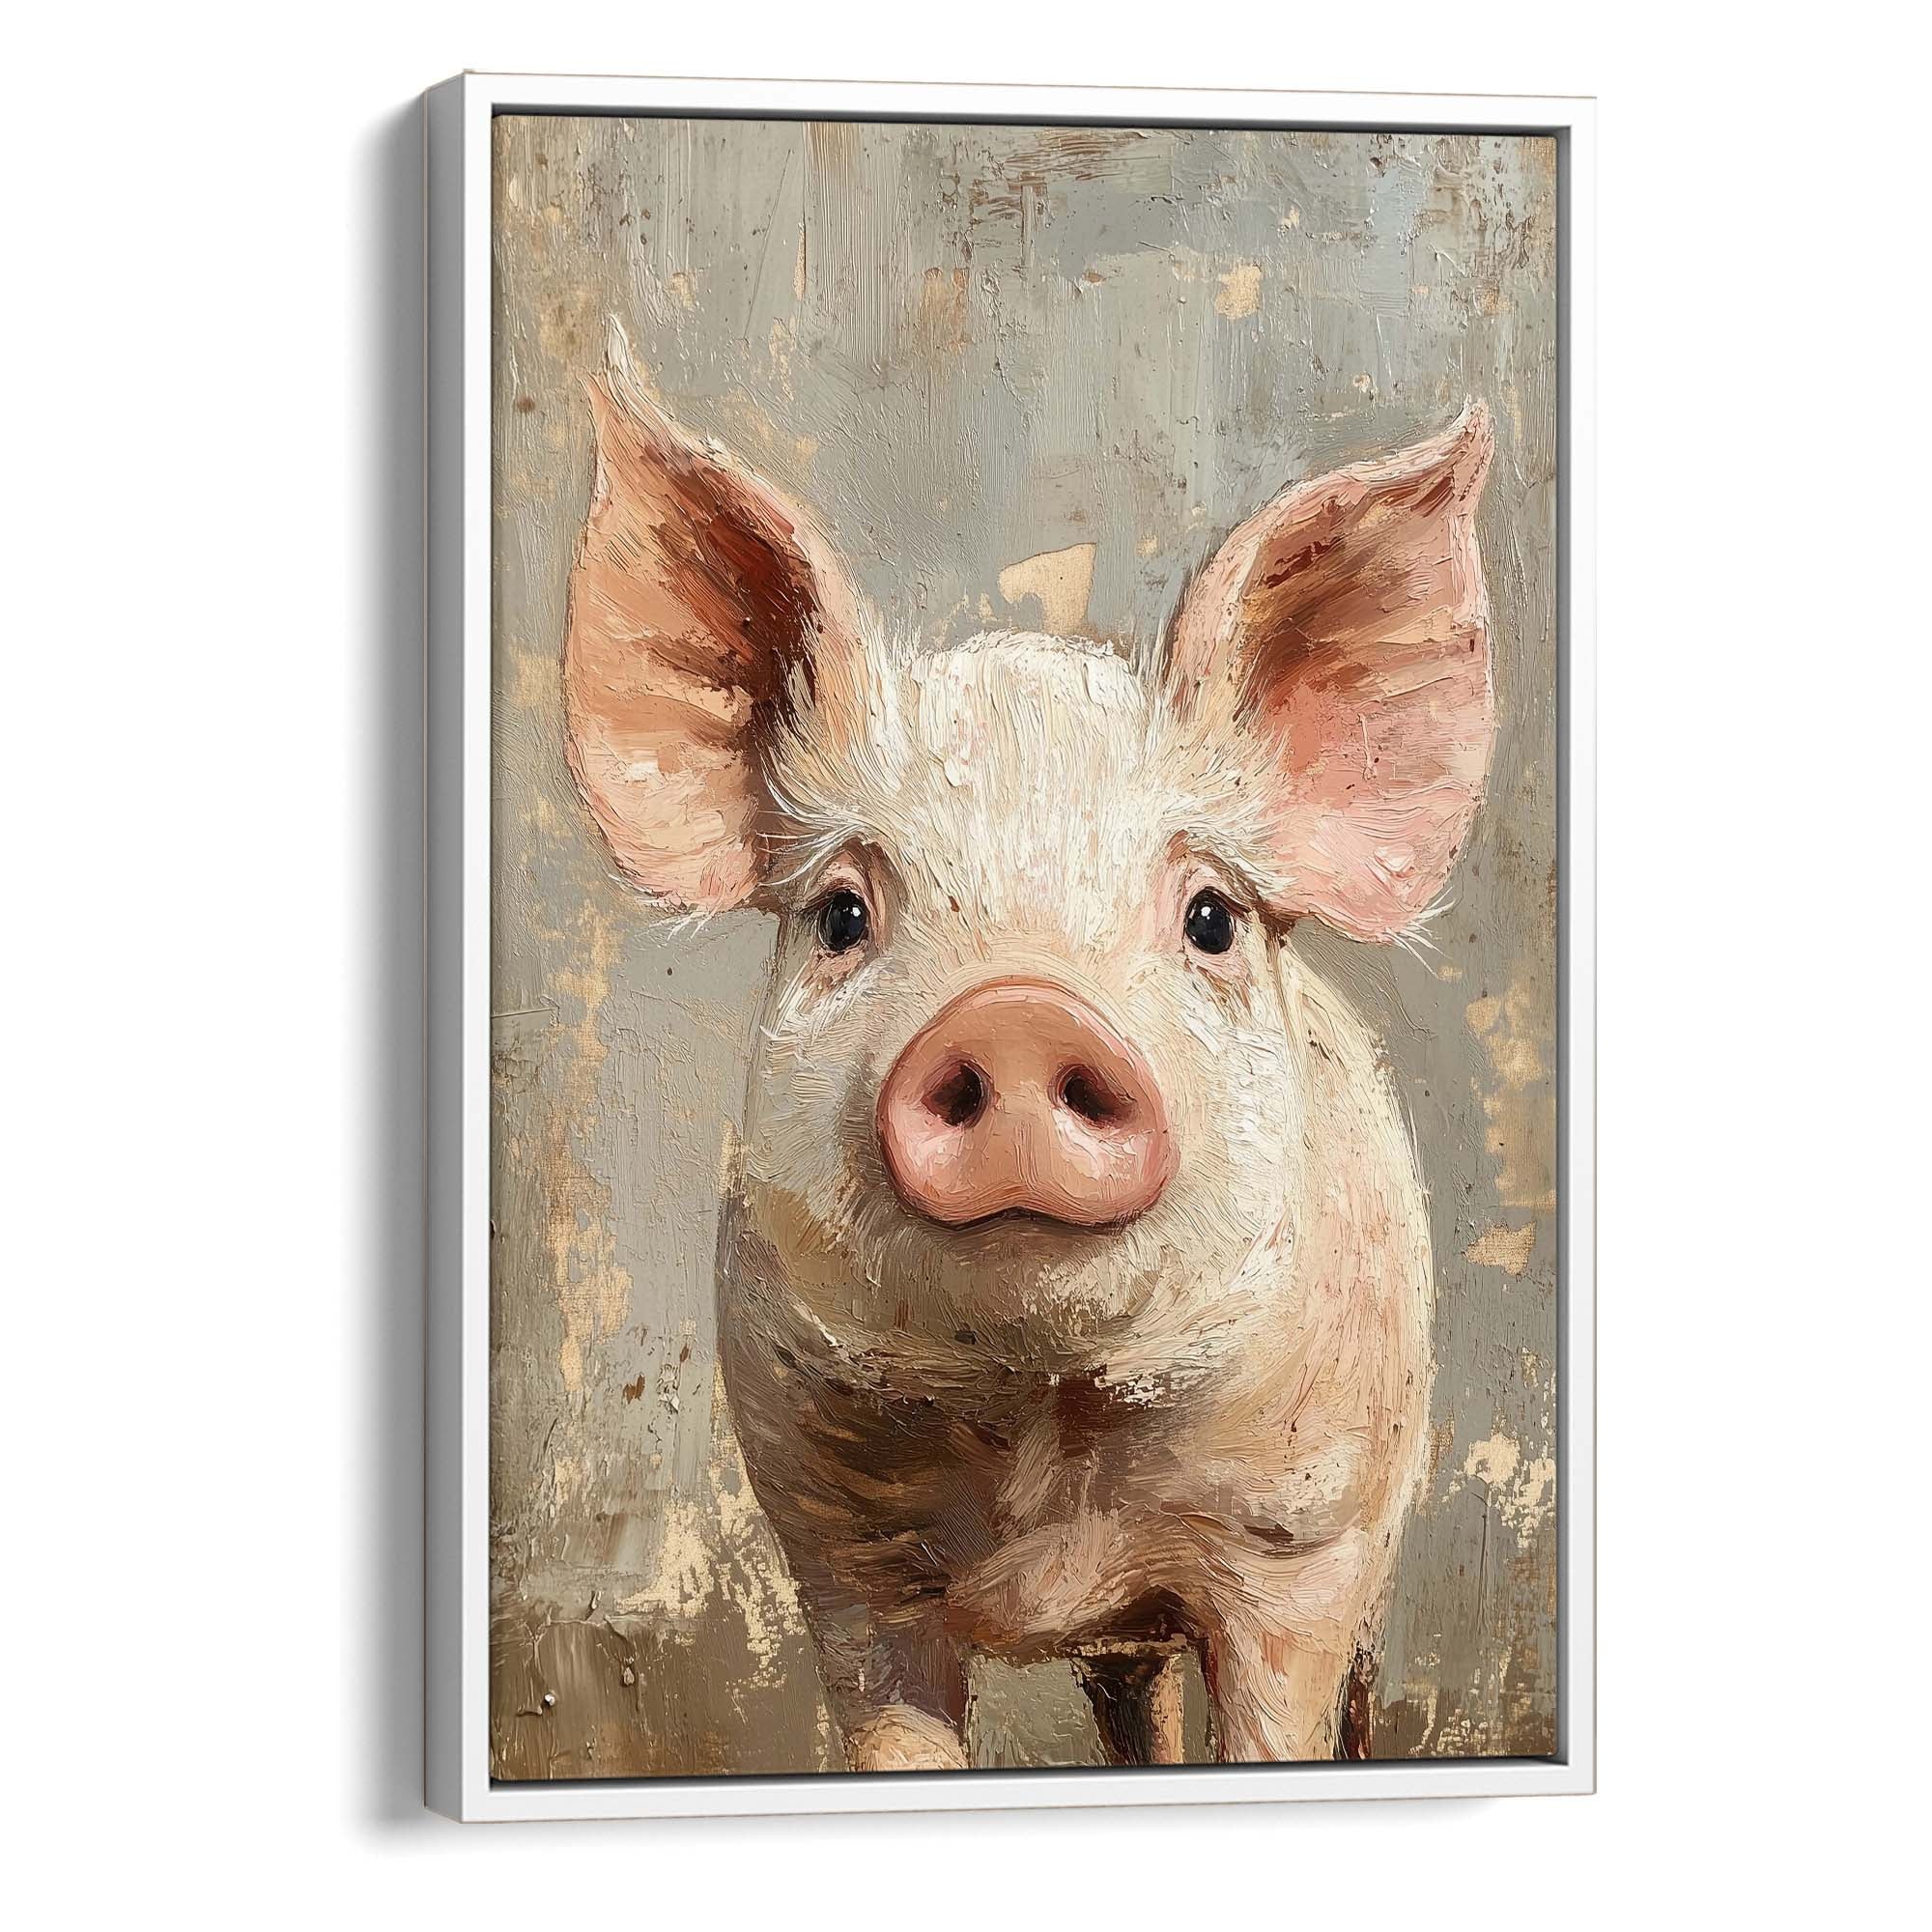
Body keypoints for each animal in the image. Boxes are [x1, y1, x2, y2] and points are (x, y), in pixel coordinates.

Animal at [563, 367, 1495, 1772]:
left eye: (1210, 917)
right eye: (841, 913)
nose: (1016, 1015)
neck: (1043, 1424)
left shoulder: (1302, 1544)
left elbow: (1276, 1714)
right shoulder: (839, 1561)